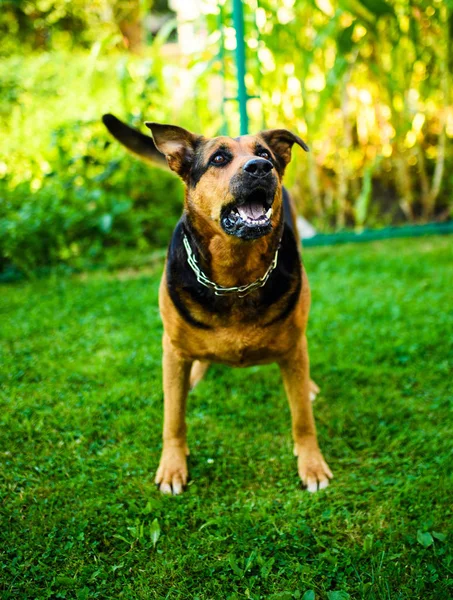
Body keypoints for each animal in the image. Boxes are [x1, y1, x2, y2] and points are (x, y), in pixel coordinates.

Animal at [102, 115, 332, 494]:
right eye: (219, 159)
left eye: (264, 153)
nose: (261, 168)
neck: (234, 274)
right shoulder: (172, 349)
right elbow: (173, 418)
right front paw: (172, 466)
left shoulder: (292, 347)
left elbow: (302, 416)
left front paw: (311, 464)